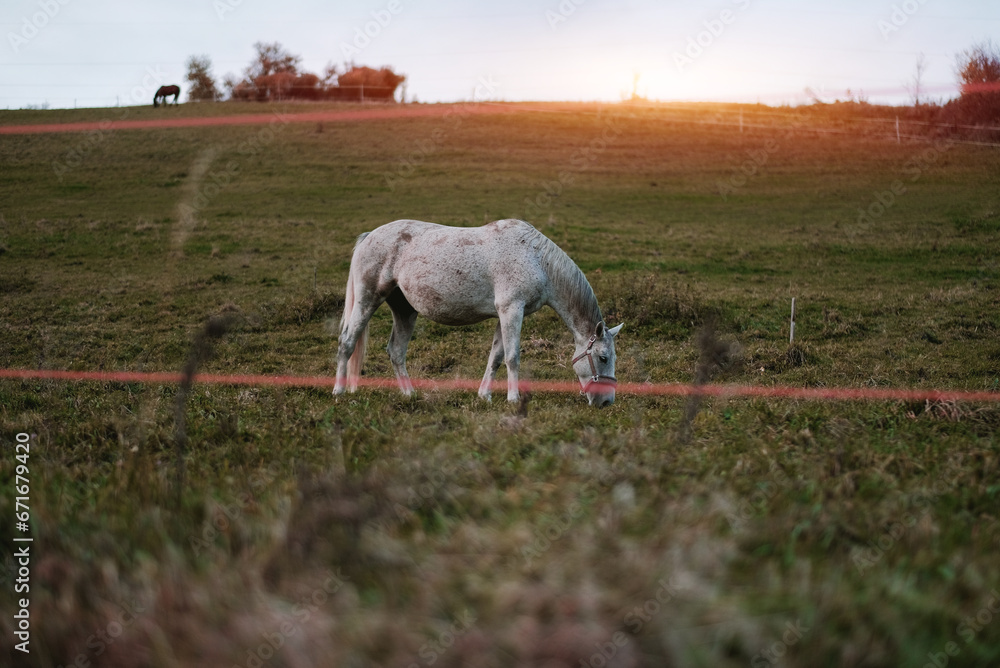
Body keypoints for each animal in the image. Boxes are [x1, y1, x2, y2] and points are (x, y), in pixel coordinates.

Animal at [334, 219, 623, 406]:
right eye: (604, 357)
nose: (606, 401)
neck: (537, 259)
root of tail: (369, 236)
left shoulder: (505, 315)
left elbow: (495, 357)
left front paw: (485, 396)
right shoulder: (511, 310)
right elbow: (512, 357)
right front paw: (513, 399)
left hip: (405, 311)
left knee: (395, 351)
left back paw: (409, 394)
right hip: (367, 300)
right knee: (347, 342)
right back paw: (338, 390)